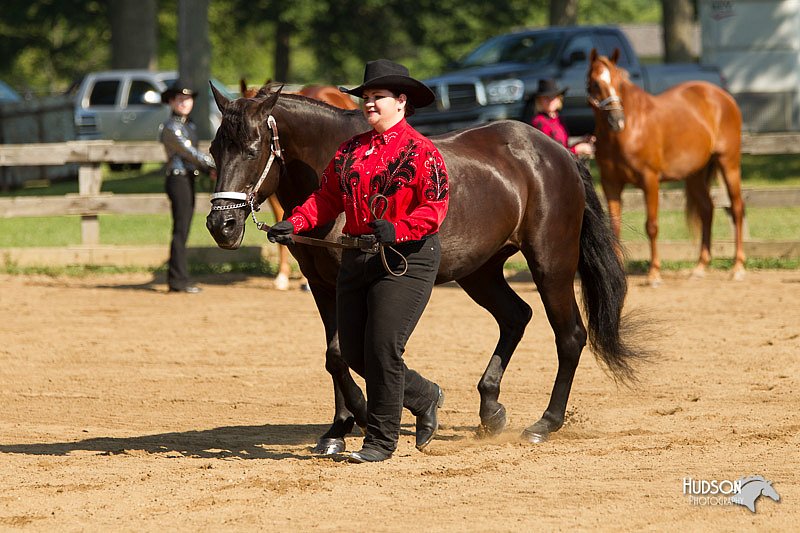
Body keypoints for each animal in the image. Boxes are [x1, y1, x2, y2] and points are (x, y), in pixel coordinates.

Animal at [584, 48, 748, 286]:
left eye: (619, 81)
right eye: (595, 83)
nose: (617, 120)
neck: (629, 131)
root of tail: (723, 96)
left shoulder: (650, 180)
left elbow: (651, 226)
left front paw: (654, 273)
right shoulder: (611, 184)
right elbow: (614, 227)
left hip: (729, 163)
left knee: (737, 208)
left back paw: (738, 267)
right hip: (695, 174)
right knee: (707, 209)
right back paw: (700, 267)